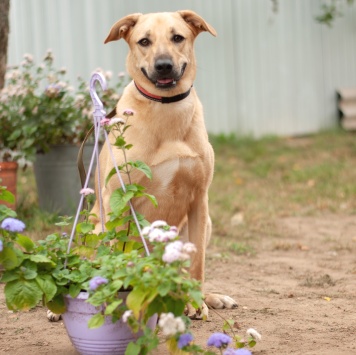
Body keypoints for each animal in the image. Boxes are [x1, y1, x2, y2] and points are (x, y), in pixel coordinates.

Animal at [46, 11, 236, 324]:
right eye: (144, 41)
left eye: (177, 37)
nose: (163, 65)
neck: (166, 109)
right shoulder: (119, 201)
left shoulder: (199, 200)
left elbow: (197, 264)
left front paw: (197, 303)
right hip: (94, 229)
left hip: (203, 224)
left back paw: (206, 299)